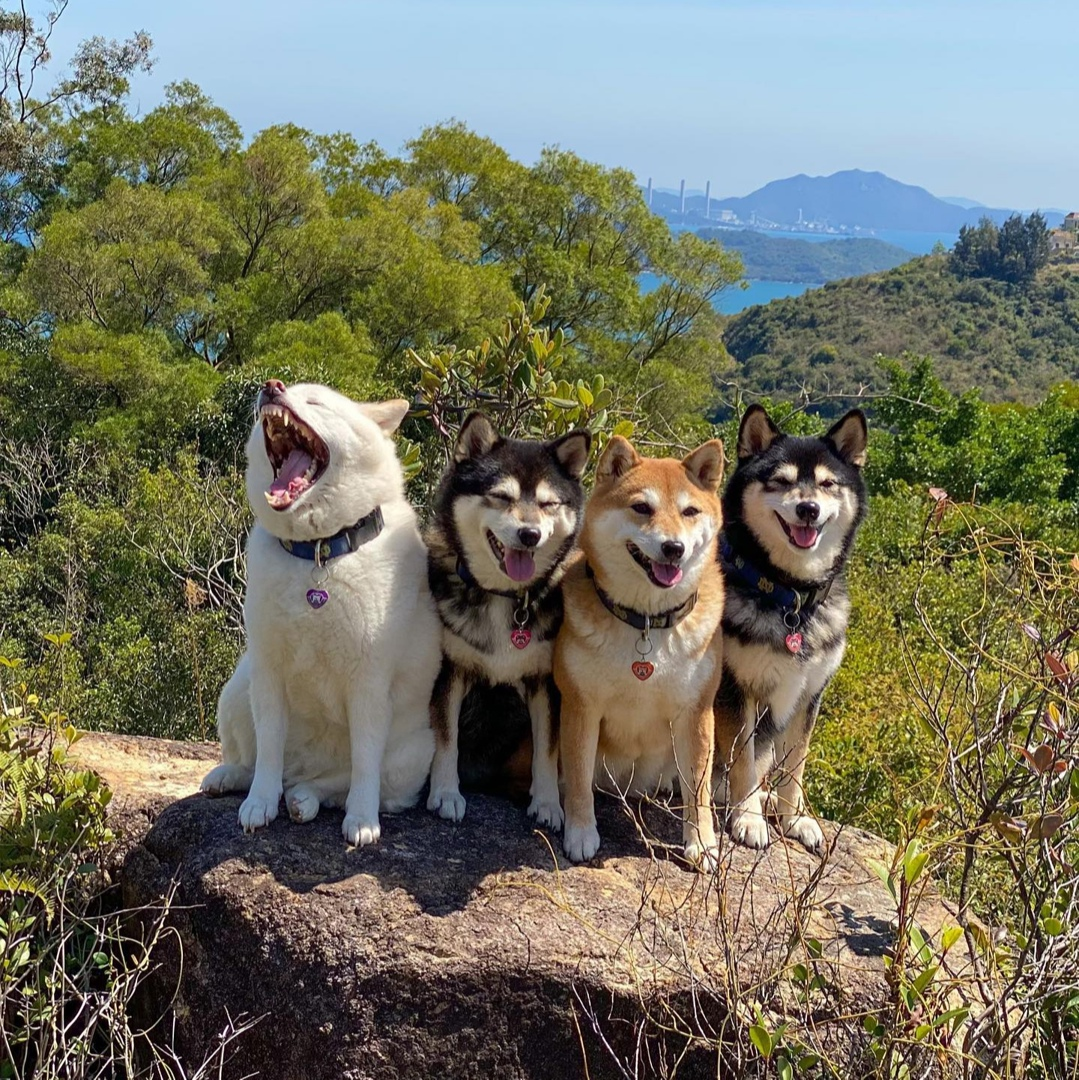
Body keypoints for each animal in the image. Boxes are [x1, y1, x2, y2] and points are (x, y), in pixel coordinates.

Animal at [200, 380, 440, 842]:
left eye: (316, 402)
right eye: (283, 386)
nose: (270, 386)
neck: (319, 552)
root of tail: (302, 771)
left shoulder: (369, 683)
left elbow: (364, 766)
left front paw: (362, 820)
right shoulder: (268, 672)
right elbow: (268, 750)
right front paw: (259, 803)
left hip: (413, 752)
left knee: (336, 785)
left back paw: (306, 798)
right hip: (237, 689)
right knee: (261, 764)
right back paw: (236, 778)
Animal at [423, 412, 591, 825]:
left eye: (548, 503)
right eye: (501, 497)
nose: (529, 535)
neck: (506, 597)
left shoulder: (546, 682)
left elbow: (547, 750)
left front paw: (547, 803)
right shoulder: (449, 672)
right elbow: (445, 738)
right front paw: (446, 792)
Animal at [557, 434, 725, 864]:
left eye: (689, 511)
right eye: (641, 507)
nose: (673, 548)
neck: (646, 622)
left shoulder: (696, 713)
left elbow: (698, 789)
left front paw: (701, 841)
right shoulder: (581, 705)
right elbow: (578, 778)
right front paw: (580, 833)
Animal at [717, 406, 868, 851]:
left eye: (827, 483)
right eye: (781, 481)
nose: (808, 509)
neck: (790, 597)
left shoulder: (808, 697)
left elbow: (795, 766)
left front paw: (794, 817)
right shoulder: (735, 690)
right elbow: (743, 762)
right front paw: (748, 819)